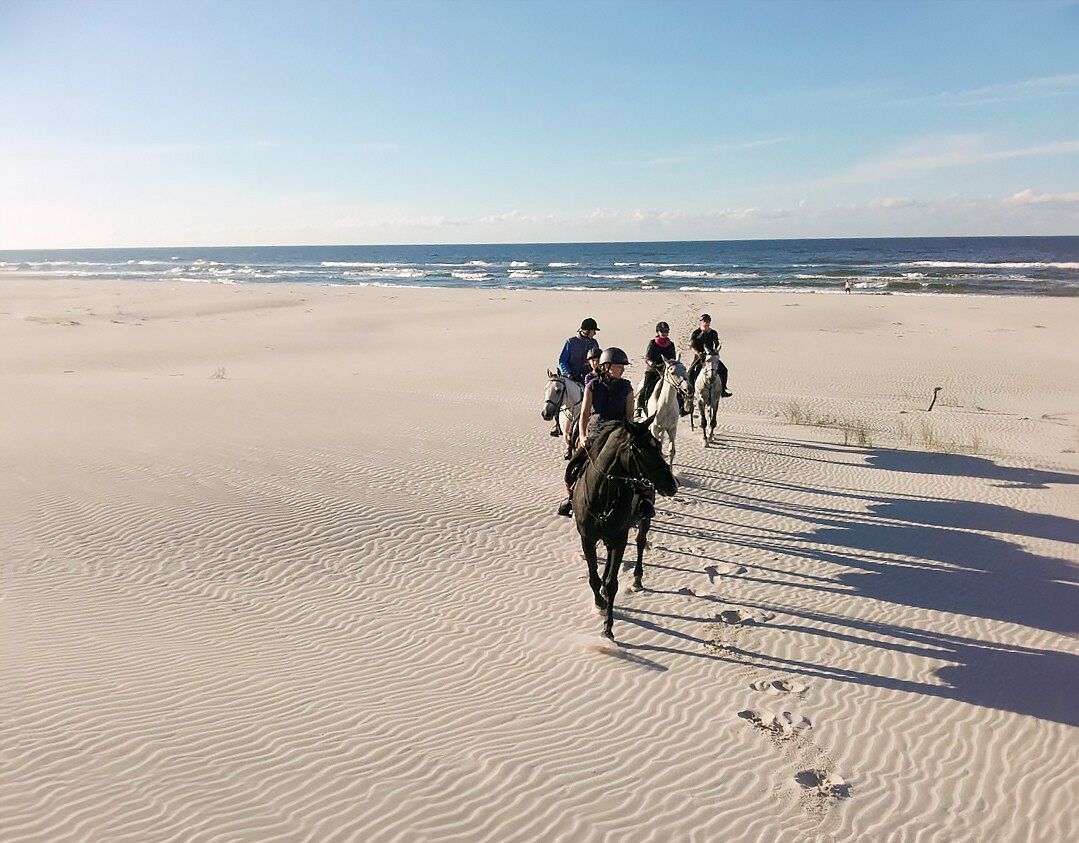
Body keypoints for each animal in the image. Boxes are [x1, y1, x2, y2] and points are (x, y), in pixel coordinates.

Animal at [572, 419, 678, 639]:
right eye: (642, 449)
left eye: (658, 445)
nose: (672, 486)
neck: (601, 496)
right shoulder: (587, 538)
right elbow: (593, 578)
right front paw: (599, 602)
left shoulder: (620, 538)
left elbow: (612, 583)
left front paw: (608, 628)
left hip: (644, 519)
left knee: (640, 542)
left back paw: (637, 579)